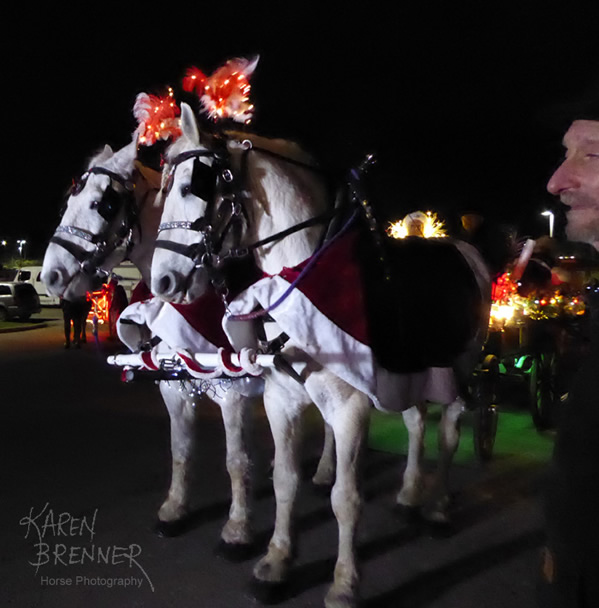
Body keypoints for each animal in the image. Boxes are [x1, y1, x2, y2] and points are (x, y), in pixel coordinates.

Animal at [151, 104, 492, 608]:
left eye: (192, 187)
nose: (163, 283)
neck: (303, 275)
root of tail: (463, 249)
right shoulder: (280, 399)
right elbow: (284, 480)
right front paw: (276, 562)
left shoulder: (350, 407)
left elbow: (345, 498)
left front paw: (345, 582)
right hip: (412, 371)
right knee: (416, 422)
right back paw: (411, 494)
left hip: (459, 367)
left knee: (449, 431)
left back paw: (437, 508)